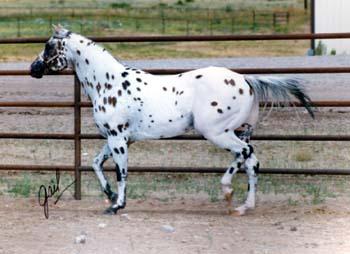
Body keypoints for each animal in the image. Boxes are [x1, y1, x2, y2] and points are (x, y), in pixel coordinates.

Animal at [30, 24, 314, 216]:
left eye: (48, 46)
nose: (33, 69)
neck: (108, 83)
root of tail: (246, 80)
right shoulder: (119, 138)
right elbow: (96, 163)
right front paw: (109, 196)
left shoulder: (119, 139)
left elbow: (121, 172)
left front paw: (117, 205)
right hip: (236, 131)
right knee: (251, 161)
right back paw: (244, 206)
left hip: (216, 133)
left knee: (245, 154)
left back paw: (227, 190)